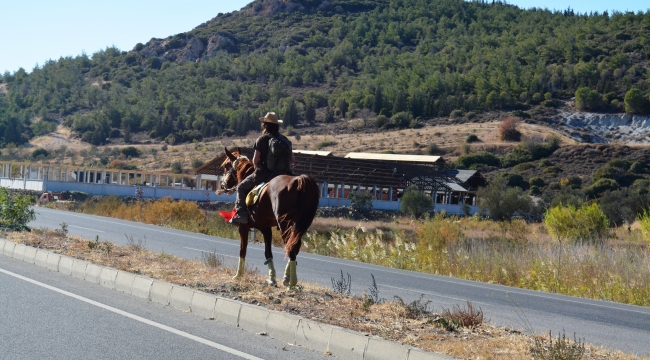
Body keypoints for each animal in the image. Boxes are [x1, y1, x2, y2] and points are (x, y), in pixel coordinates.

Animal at [218, 148, 318, 288]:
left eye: (226, 166)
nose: (223, 185)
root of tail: (298, 180)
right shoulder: (266, 229)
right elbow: (268, 253)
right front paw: (272, 278)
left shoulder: (243, 227)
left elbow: (242, 250)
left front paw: (238, 275)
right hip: (298, 225)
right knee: (294, 246)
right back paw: (287, 278)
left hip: (284, 224)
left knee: (291, 248)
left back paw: (291, 283)